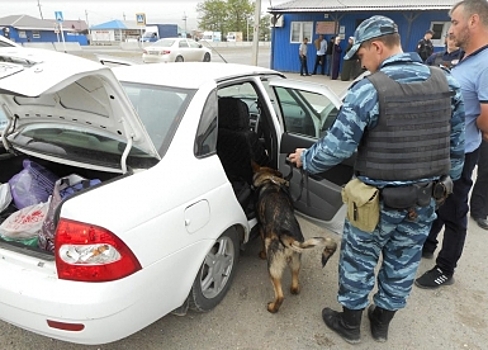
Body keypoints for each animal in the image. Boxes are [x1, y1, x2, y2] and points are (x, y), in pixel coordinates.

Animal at [252, 164, 336, 314]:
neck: (268, 179)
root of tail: (287, 236)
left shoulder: (262, 228)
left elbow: (261, 242)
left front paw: (262, 254)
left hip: (273, 267)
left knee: (280, 295)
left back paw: (272, 307)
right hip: (296, 261)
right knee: (295, 285)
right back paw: (294, 289)